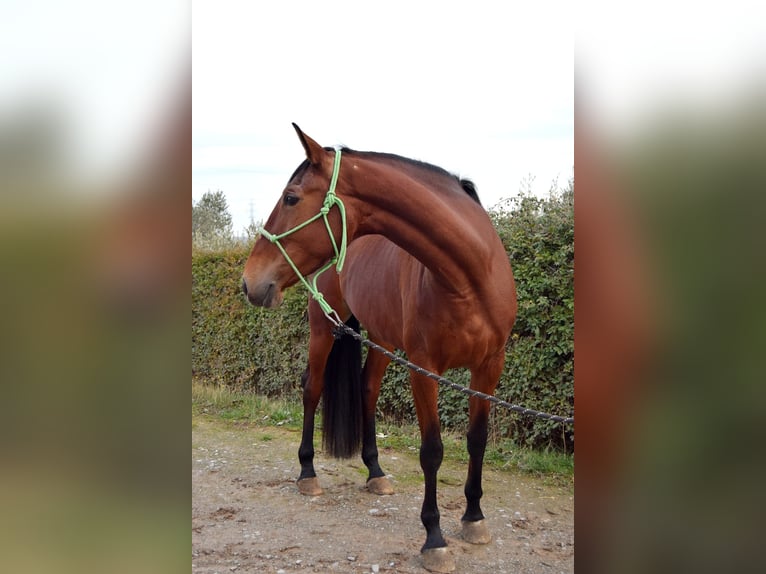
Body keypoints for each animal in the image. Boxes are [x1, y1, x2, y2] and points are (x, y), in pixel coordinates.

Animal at [241, 125, 516, 572]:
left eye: (291, 198)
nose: (250, 282)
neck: (468, 278)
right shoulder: (424, 369)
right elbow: (432, 450)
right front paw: (434, 538)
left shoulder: (489, 367)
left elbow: (477, 440)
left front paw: (474, 518)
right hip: (324, 331)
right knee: (311, 389)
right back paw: (308, 474)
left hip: (383, 341)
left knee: (367, 389)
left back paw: (375, 472)